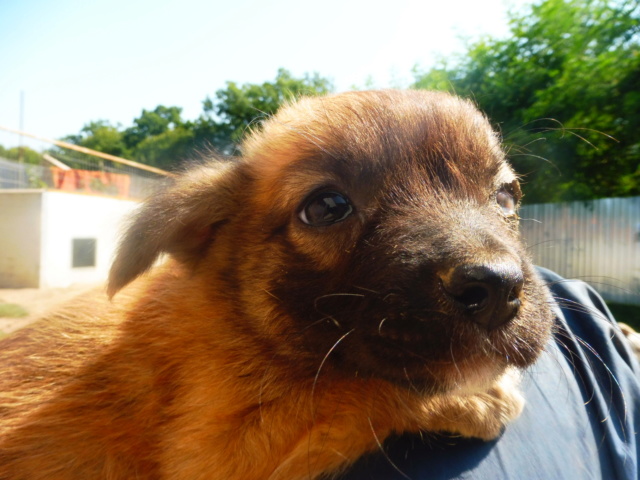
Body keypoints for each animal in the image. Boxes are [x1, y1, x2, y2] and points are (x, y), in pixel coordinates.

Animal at [0, 89, 556, 476]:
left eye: (506, 196)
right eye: (327, 207)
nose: (497, 289)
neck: (238, 318)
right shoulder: (219, 449)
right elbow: (353, 391)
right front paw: (480, 397)